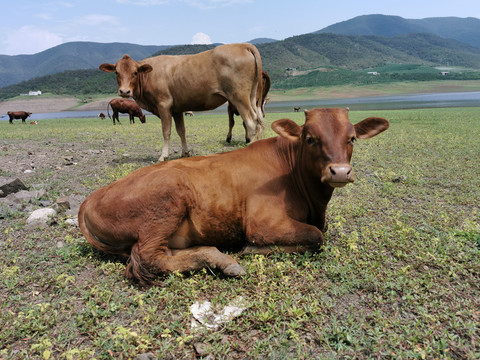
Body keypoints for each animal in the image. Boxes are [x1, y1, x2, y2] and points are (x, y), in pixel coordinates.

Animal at [77, 108, 388, 286]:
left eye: (351, 138)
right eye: (310, 138)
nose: (340, 172)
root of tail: (90, 198)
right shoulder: (262, 224)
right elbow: (316, 236)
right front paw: (253, 249)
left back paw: (220, 259)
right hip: (165, 205)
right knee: (147, 259)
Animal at [99, 43, 264, 161]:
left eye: (135, 72)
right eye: (117, 72)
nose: (124, 91)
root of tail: (243, 45)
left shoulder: (164, 105)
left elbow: (166, 131)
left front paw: (163, 155)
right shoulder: (177, 109)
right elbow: (181, 131)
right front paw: (185, 153)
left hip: (239, 96)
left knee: (251, 122)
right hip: (251, 97)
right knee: (259, 120)